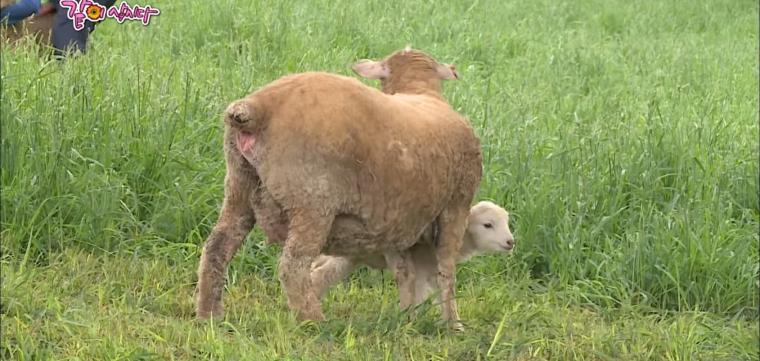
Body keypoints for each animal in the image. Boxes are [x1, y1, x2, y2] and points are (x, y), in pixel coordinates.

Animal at [196, 46, 480, 328]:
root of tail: (256, 107)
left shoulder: (398, 221)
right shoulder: (457, 204)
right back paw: (314, 321)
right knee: (293, 265)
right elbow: (446, 270)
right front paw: (452, 323)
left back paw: (209, 314)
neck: (420, 91)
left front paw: (407, 316)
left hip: (239, 184)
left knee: (217, 246)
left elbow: (405, 273)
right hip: (312, 198)